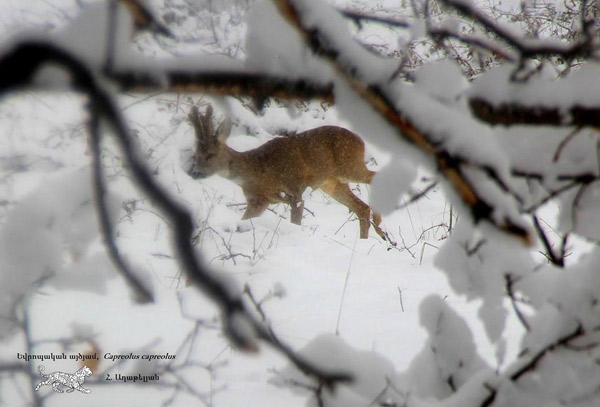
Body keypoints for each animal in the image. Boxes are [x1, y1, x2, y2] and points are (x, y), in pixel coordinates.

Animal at [189, 103, 390, 241]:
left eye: (210, 155)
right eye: (196, 154)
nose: (195, 173)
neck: (258, 170)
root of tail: (361, 141)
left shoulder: (295, 189)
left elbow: (295, 221)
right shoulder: (258, 201)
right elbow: (245, 218)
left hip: (349, 166)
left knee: (373, 178)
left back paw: (380, 225)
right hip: (331, 183)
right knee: (361, 207)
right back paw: (366, 239)